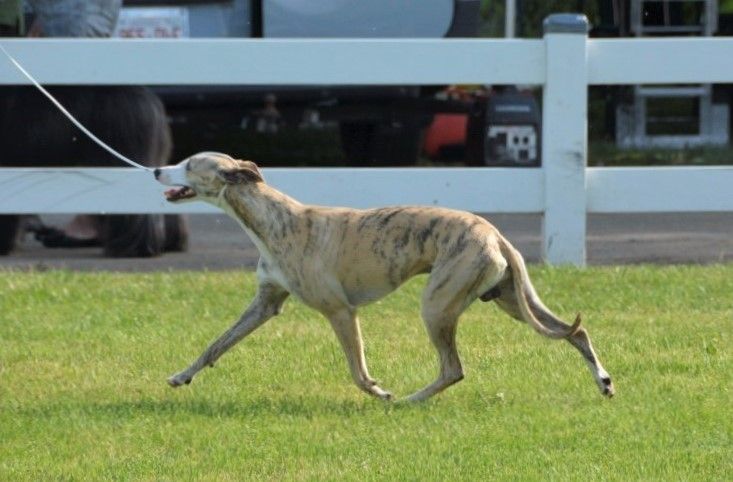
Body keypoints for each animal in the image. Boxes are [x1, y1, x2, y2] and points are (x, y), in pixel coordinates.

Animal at [154, 153, 612, 402]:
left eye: (190, 164)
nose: (157, 169)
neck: (274, 220)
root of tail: (493, 232)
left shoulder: (340, 312)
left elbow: (357, 371)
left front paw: (379, 391)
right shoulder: (265, 303)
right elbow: (217, 344)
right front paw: (181, 376)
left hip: (437, 305)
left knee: (453, 369)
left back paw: (408, 400)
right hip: (513, 299)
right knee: (576, 333)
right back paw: (604, 382)